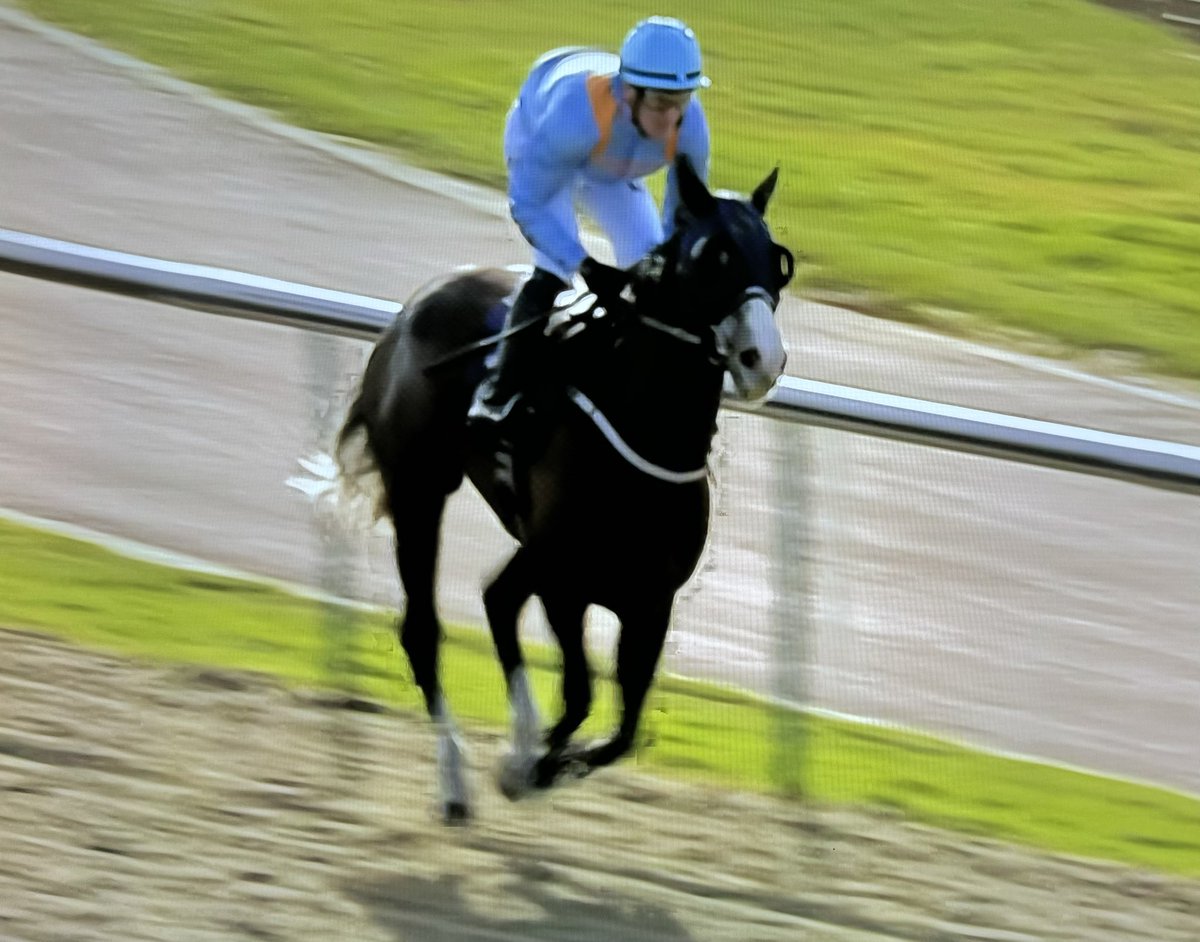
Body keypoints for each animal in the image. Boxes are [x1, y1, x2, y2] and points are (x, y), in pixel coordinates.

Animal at [333, 158, 792, 820]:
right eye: (714, 256)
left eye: (776, 260)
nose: (763, 360)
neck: (647, 433)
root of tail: (416, 305)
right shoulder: (566, 587)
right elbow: (579, 694)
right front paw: (524, 765)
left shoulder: (649, 600)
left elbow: (625, 728)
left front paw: (542, 760)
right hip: (421, 490)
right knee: (425, 628)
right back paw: (457, 783)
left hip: (528, 545)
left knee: (497, 597)